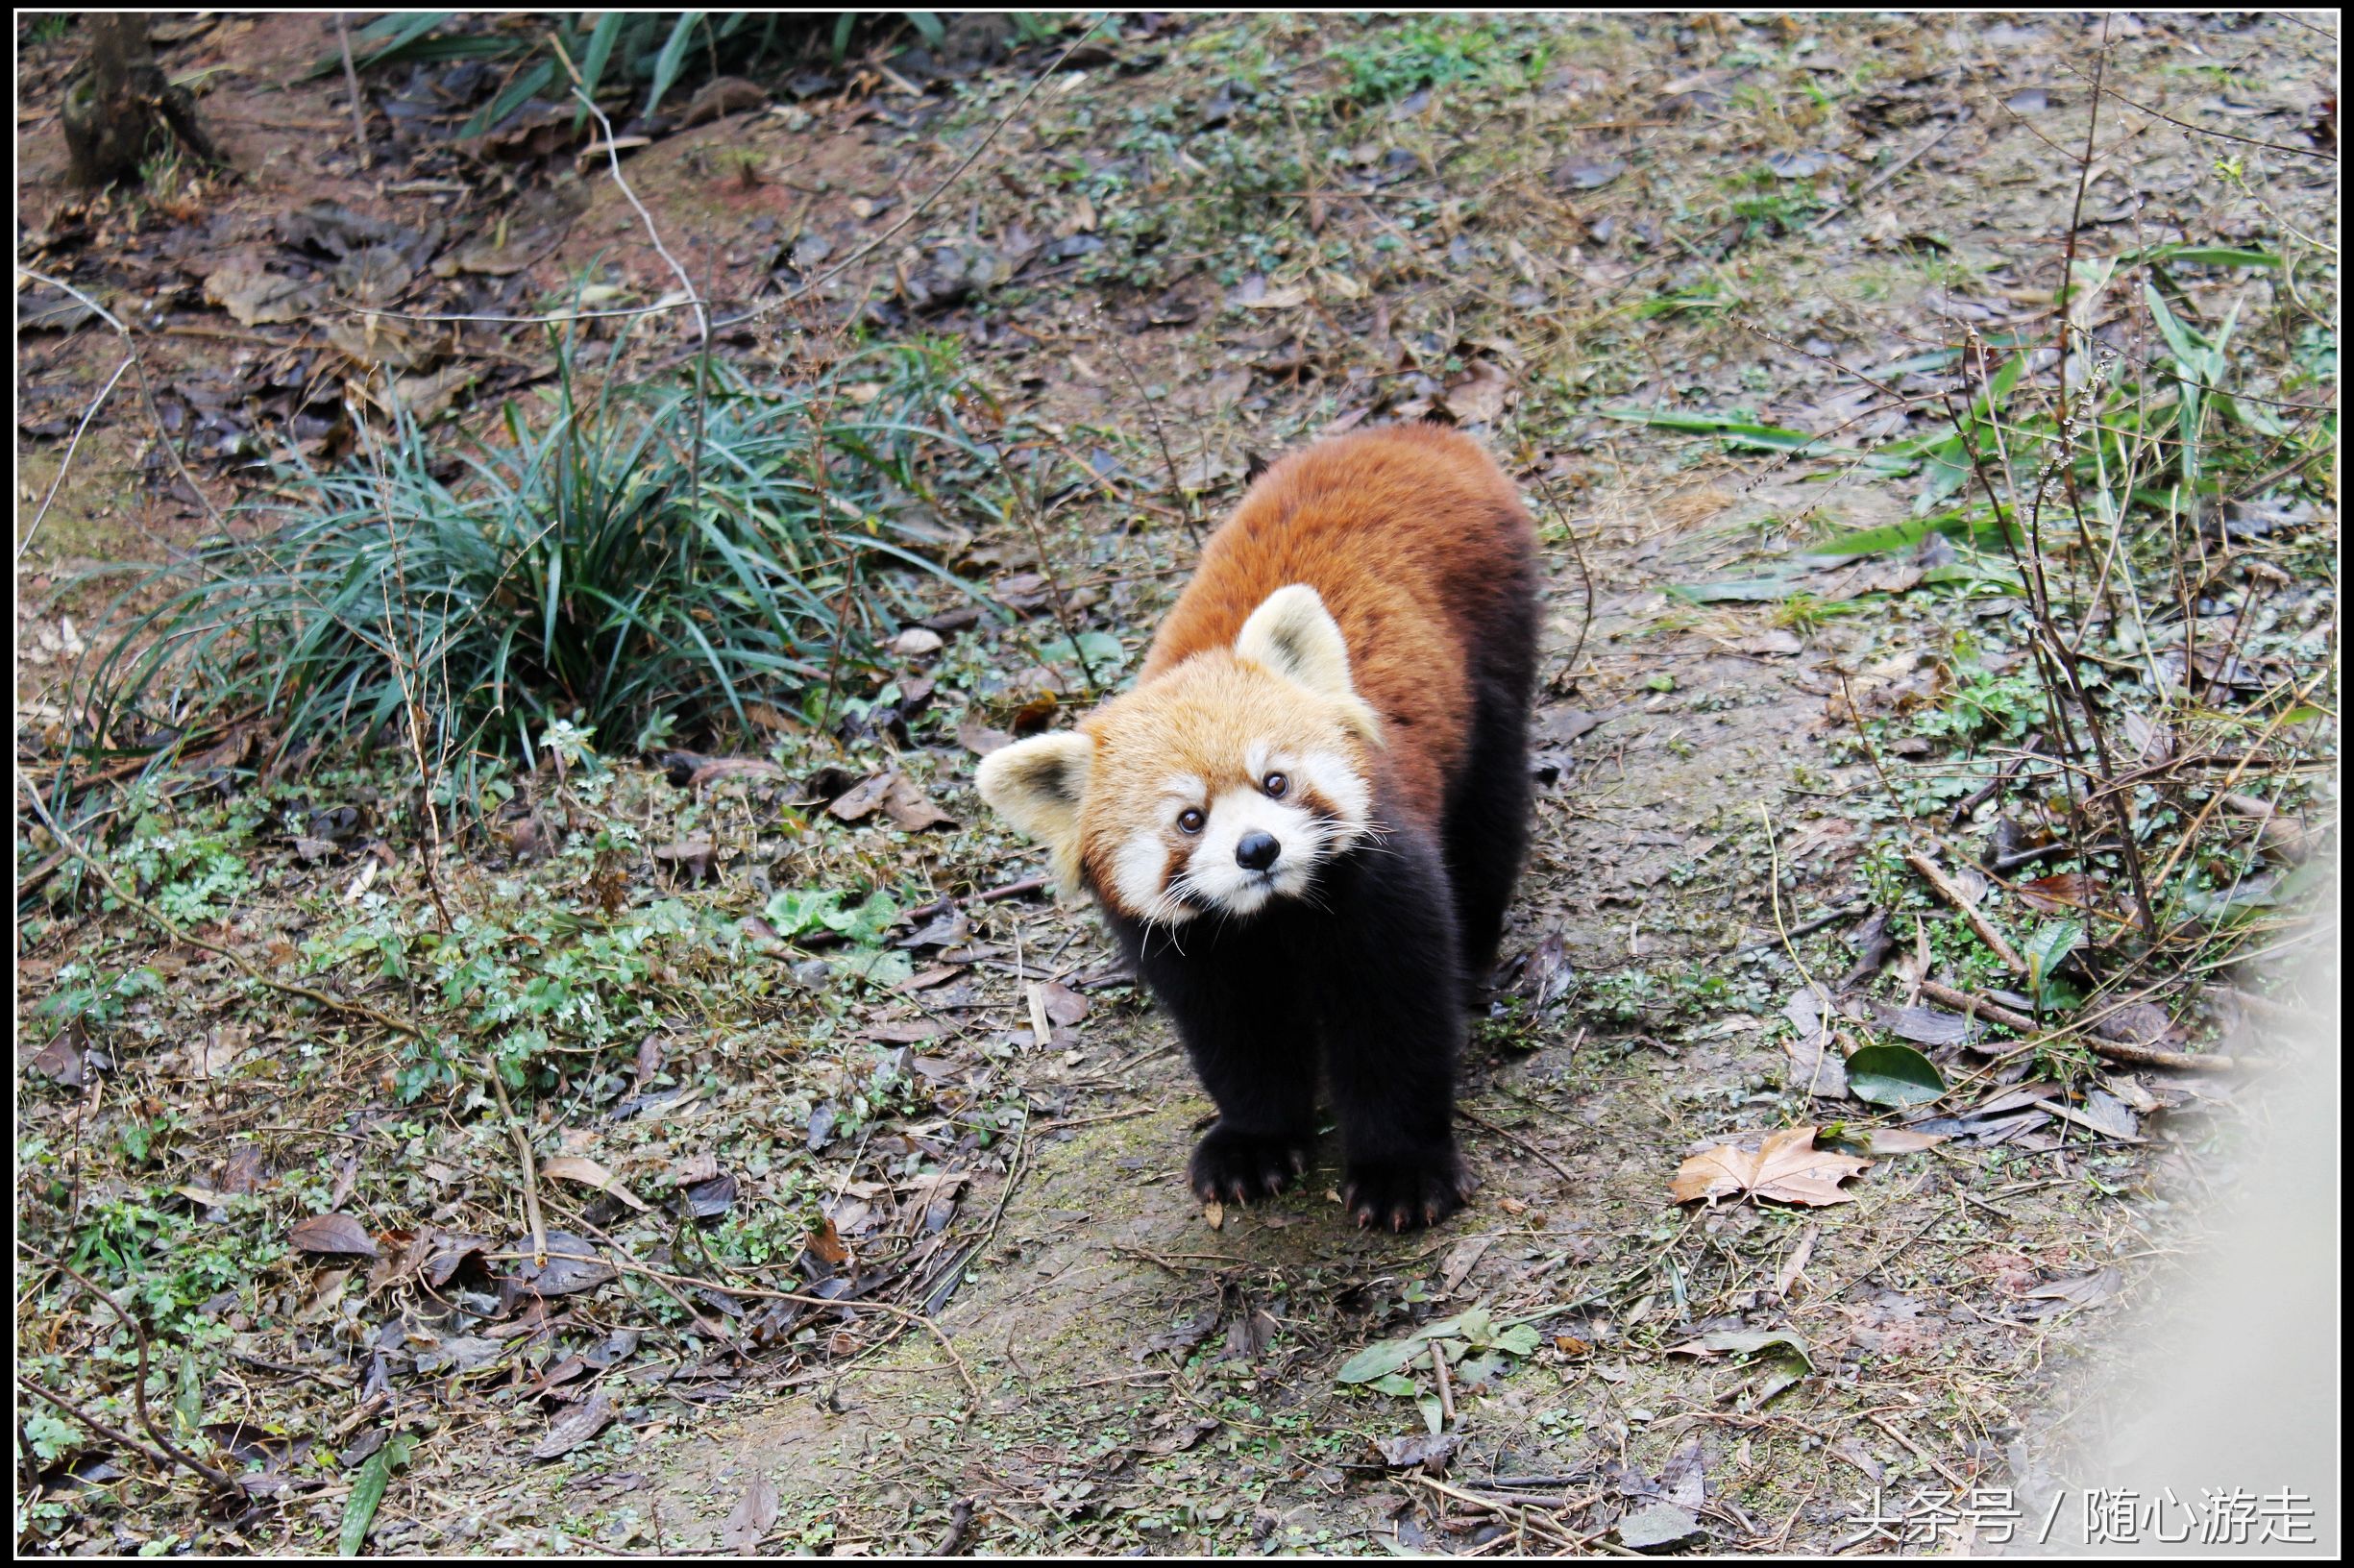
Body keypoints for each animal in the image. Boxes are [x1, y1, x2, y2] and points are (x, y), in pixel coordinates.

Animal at [969, 421, 1534, 1224]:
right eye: (1189, 819)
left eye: (1276, 782)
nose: (1258, 848)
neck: (1272, 914)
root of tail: (1408, 434)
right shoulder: (1190, 944)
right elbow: (1238, 1037)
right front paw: (1255, 1142)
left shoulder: (1379, 877)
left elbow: (1395, 1019)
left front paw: (1401, 1168)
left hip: (1491, 644)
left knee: (1490, 815)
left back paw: (1478, 947)